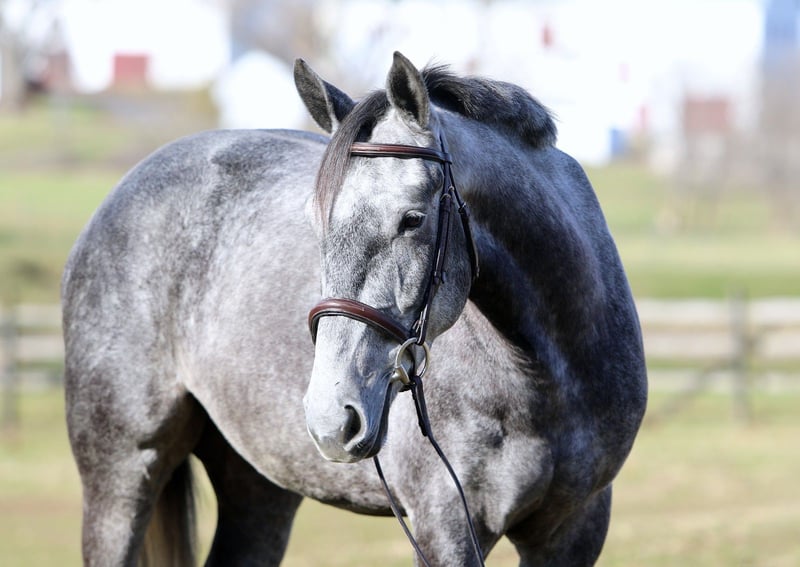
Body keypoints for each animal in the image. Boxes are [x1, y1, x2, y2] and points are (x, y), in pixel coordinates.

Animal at [62, 52, 647, 566]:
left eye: (412, 219)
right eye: (316, 222)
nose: (331, 418)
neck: (542, 379)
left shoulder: (575, 529)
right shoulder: (446, 529)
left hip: (257, 485)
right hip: (121, 474)